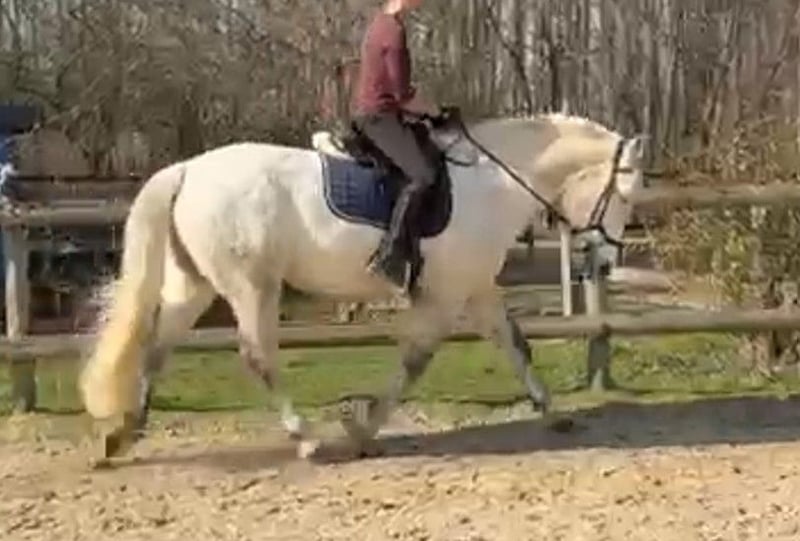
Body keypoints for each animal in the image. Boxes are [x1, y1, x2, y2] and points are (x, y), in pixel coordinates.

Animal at [78, 112, 646, 461]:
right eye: (625, 193)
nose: (604, 260)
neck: (492, 183)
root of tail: (188, 170)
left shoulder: (478, 289)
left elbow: (517, 346)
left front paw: (554, 413)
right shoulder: (444, 298)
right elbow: (415, 362)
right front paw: (363, 430)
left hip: (194, 285)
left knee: (157, 345)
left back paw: (123, 433)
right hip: (251, 286)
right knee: (257, 355)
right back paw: (305, 439)